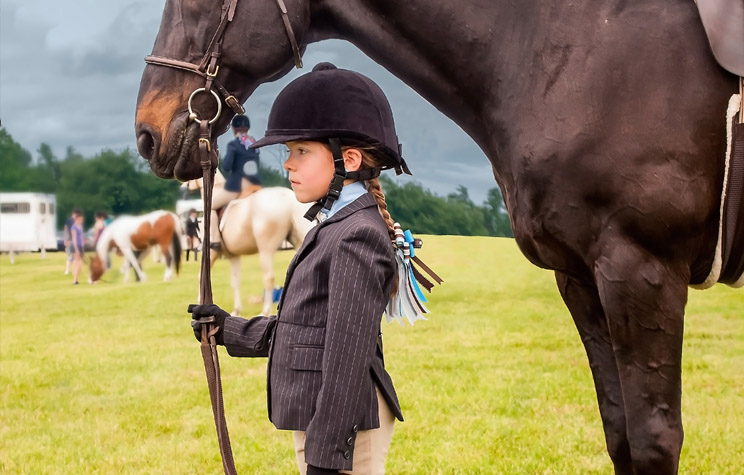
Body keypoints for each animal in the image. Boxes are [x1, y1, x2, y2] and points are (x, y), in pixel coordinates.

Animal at [187, 175, 316, 316]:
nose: (185, 187)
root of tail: (288, 198)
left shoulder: (212, 253)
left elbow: (201, 276)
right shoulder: (233, 256)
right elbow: (235, 282)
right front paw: (236, 310)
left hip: (266, 250)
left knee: (269, 278)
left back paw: (265, 311)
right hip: (298, 242)